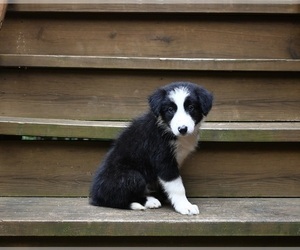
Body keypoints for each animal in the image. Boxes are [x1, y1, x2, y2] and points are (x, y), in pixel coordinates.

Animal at [89, 82, 213, 215]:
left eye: (191, 107)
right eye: (170, 110)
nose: (182, 129)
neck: (166, 128)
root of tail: (95, 195)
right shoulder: (163, 159)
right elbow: (177, 186)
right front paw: (185, 206)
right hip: (132, 176)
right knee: (116, 200)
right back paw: (146, 202)